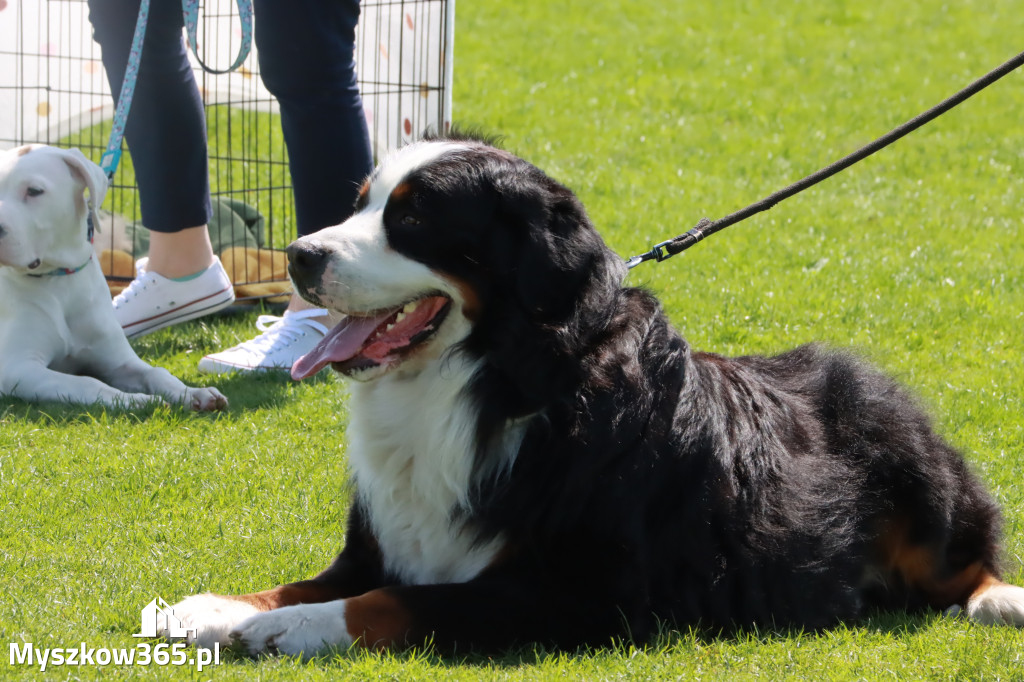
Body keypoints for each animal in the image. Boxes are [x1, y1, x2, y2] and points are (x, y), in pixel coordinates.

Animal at [0, 144, 226, 409]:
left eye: (34, 191)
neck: (59, 280)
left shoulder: (118, 360)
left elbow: (156, 372)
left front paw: (191, 392)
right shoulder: (17, 369)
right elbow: (87, 382)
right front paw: (134, 400)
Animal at [159, 131, 1024, 655]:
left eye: (415, 219)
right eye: (363, 201)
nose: (300, 255)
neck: (488, 381)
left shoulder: (579, 593)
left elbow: (392, 603)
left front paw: (289, 629)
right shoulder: (379, 545)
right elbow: (308, 580)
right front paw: (215, 608)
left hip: (918, 475)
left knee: (967, 560)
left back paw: (998, 599)